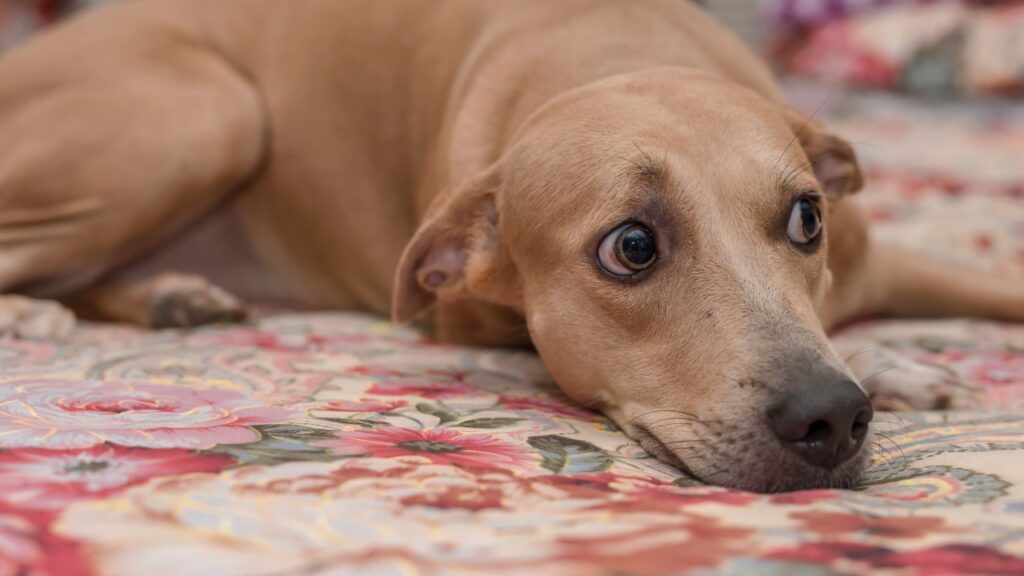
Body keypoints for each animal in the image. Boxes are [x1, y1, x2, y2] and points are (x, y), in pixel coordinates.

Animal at [2, 1, 1024, 494]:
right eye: (631, 248)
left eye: (808, 219)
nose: (833, 417)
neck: (613, 57)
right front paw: (884, 363)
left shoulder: (885, 264)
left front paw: (889, 361)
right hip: (207, 112)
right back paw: (32, 316)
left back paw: (173, 295)